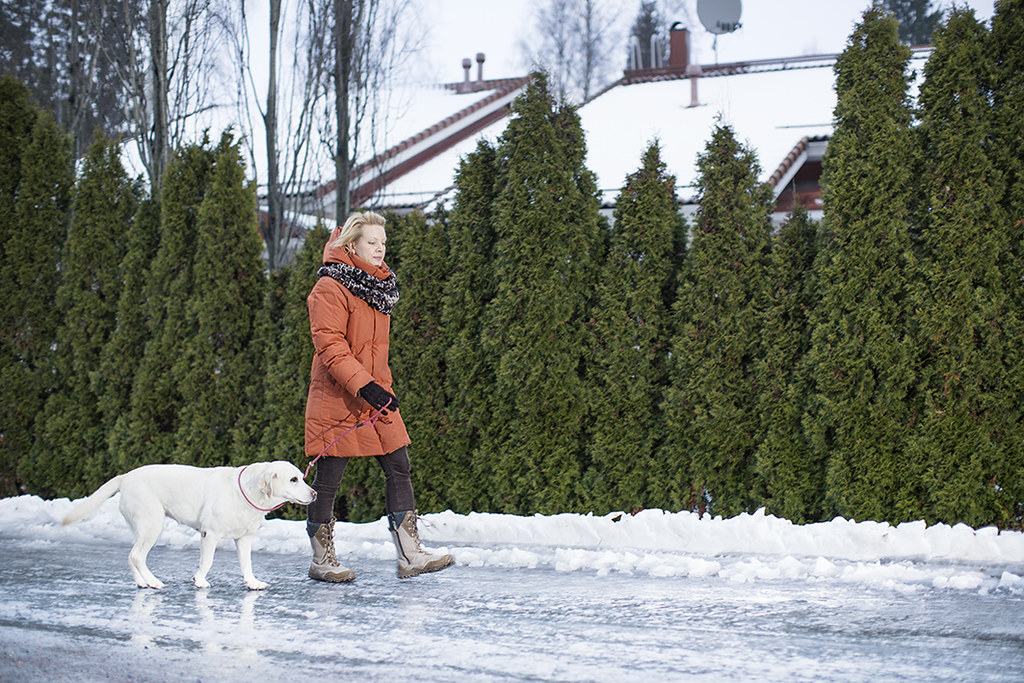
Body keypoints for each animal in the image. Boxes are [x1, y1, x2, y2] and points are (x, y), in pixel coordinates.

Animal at [61, 462, 313, 589]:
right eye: (293, 479)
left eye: (302, 476)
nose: (315, 494)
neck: (247, 492)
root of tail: (125, 477)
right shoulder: (210, 534)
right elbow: (207, 562)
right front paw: (199, 581)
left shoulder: (244, 538)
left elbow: (247, 564)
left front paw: (252, 583)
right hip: (153, 525)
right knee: (136, 556)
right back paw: (153, 582)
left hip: (140, 528)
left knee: (131, 556)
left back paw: (143, 583)